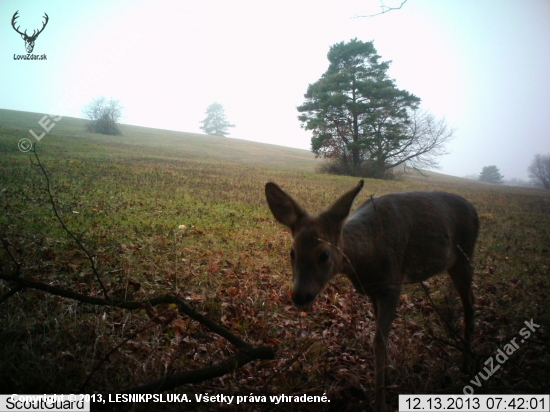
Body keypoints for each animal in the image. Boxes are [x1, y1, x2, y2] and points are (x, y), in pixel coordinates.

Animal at [266, 180, 480, 412]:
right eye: (292, 253)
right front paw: (388, 380)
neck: (366, 256)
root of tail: (475, 210)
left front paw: (380, 401)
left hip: (464, 258)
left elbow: (379, 342)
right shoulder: (374, 291)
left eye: (324, 255)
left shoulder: (392, 285)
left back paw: (466, 365)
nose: (300, 295)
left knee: (470, 306)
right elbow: (381, 337)